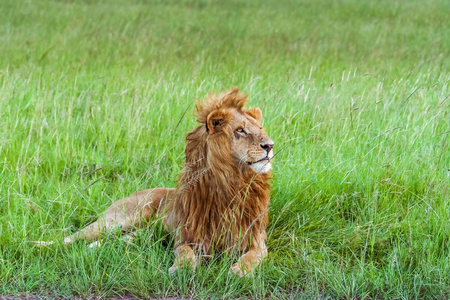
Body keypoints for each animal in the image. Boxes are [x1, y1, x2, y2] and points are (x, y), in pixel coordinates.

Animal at [36, 88, 274, 278]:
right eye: (240, 130)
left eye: (261, 129)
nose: (270, 145)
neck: (234, 185)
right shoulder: (187, 237)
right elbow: (185, 254)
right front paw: (181, 269)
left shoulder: (257, 241)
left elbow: (252, 257)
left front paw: (240, 271)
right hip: (118, 221)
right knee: (70, 238)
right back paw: (39, 246)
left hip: (140, 234)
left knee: (111, 241)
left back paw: (91, 249)